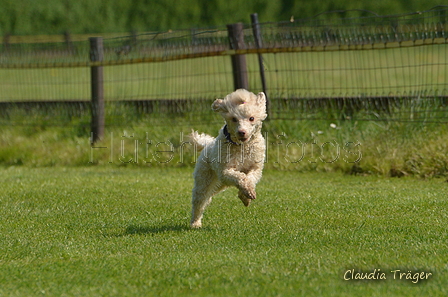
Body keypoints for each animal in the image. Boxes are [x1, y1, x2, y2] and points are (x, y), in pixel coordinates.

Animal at [188, 89, 266, 228]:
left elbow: (250, 179)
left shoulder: (256, 168)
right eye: (234, 119)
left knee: (208, 197)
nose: (242, 132)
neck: (241, 146)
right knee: (199, 200)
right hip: (205, 179)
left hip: (219, 184)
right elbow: (241, 177)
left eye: (251, 118)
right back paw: (195, 223)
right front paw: (246, 193)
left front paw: (246, 196)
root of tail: (207, 144)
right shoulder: (225, 171)